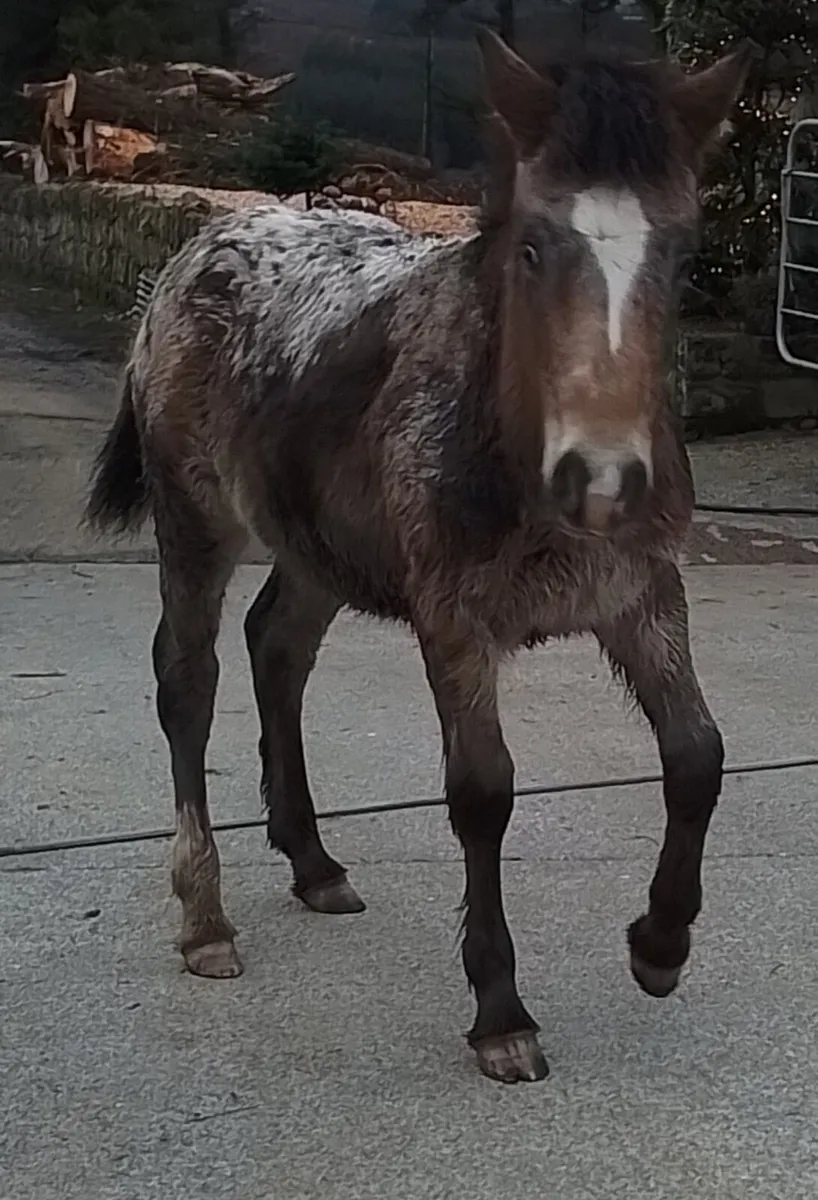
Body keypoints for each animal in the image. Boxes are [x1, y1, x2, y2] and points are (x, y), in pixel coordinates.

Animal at [86, 29, 751, 1084]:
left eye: (682, 257)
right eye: (532, 246)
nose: (603, 480)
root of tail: (200, 245)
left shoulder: (643, 596)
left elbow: (698, 756)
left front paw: (660, 945)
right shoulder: (455, 620)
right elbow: (483, 792)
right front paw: (500, 1011)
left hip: (316, 545)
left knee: (278, 646)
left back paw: (313, 862)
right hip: (194, 518)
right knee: (187, 680)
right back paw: (206, 918)